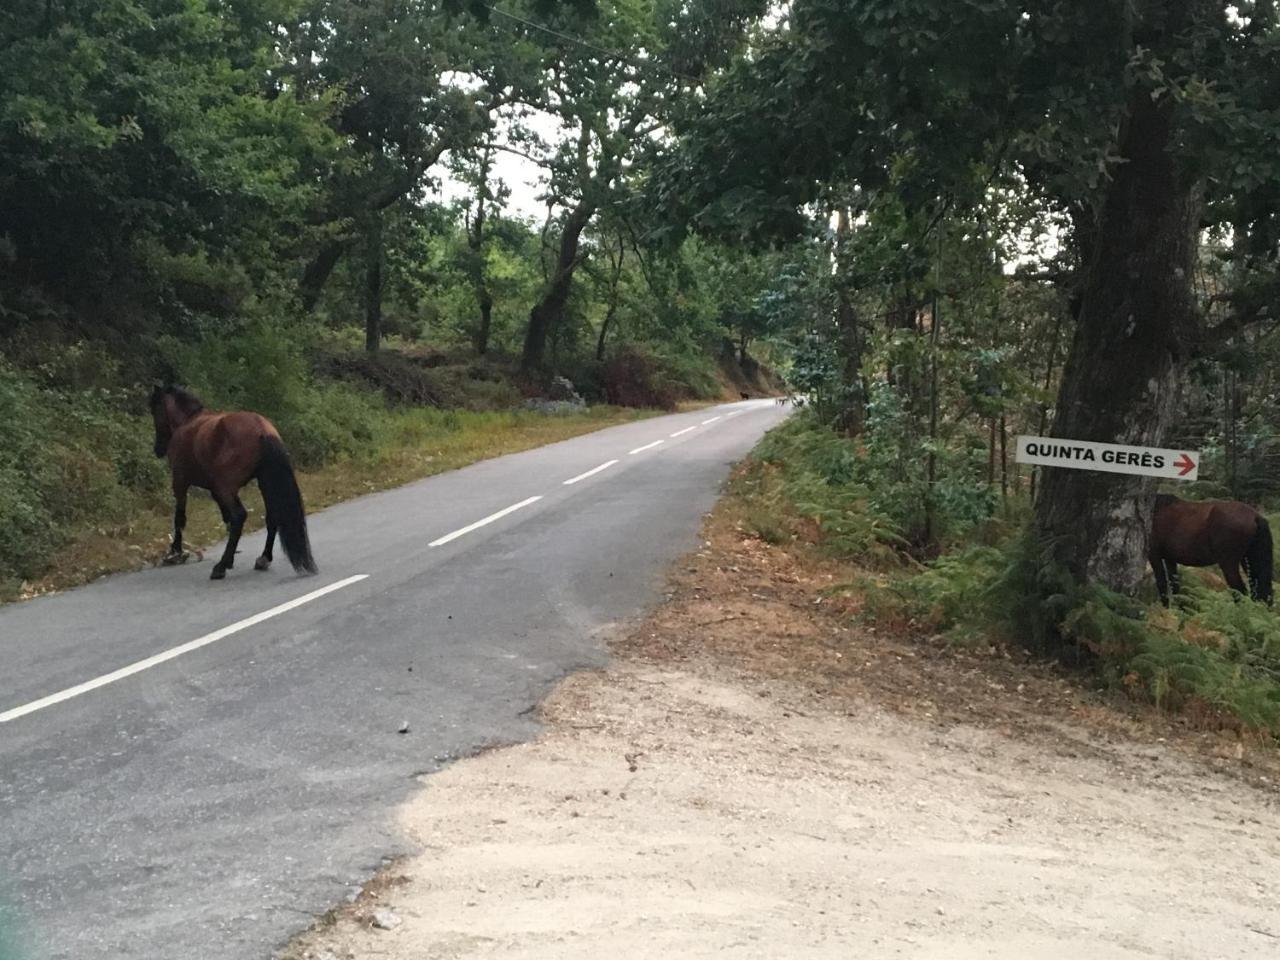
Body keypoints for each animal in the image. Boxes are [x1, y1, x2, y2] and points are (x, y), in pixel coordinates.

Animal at [149, 386, 317, 583]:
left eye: (155, 410)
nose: (158, 449)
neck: (187, 422)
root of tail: (263, 430)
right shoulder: (216, 491)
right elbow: (226, 518)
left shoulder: (181, 482)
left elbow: (180, 518)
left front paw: (175, 552)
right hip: (262, 482)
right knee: (271, 516)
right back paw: (262, 558)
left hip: (227, 487)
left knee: (239, 516)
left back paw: (221, 567)